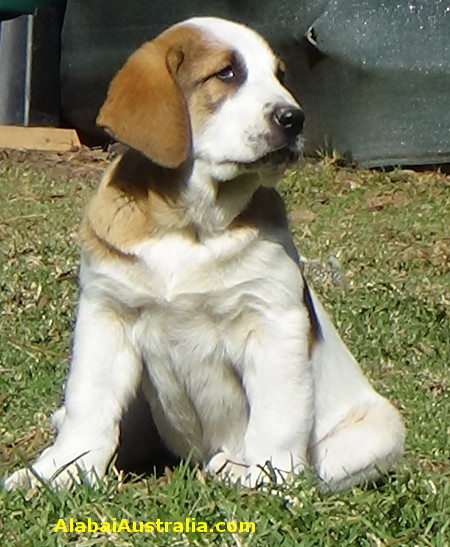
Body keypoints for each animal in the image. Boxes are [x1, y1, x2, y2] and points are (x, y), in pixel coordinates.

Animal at [4, 18, 404, 492]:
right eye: (227, 73)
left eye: (279, 75)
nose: (295, 118)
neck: (189, 225)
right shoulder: (107, 314)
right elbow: (89, 407)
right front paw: (60, 471)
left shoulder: (272, 321)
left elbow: (278, 416)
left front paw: (269, 478)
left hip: (378, 430)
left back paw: (236, 468)